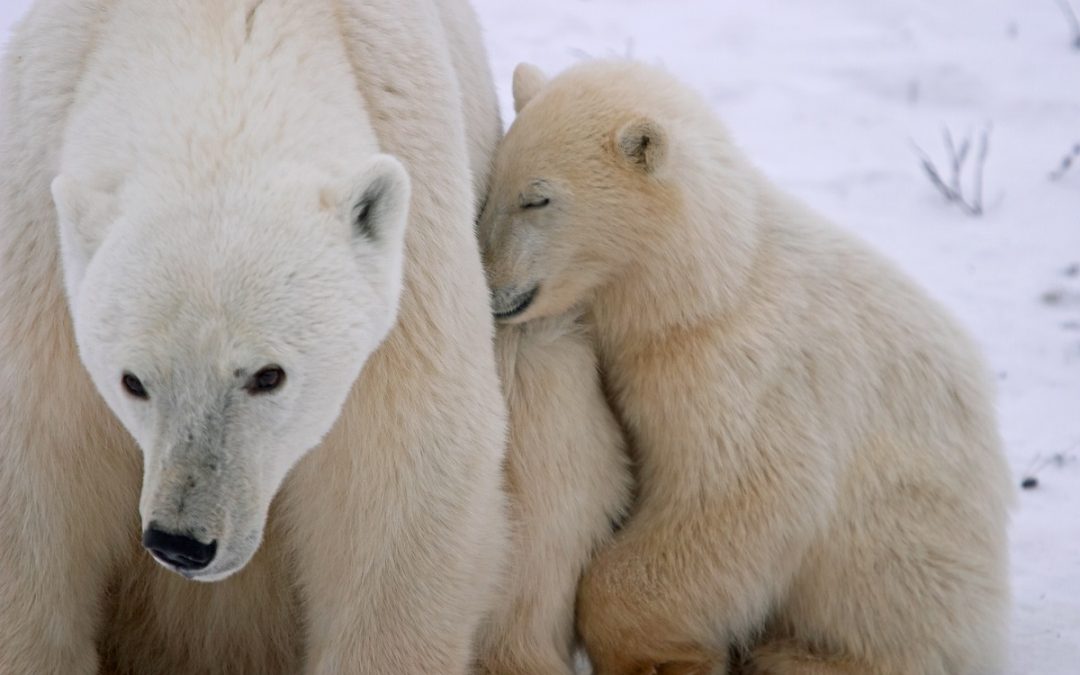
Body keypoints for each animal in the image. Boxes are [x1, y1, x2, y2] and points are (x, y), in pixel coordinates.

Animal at [0, 1, 507, 673]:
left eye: (269, 375)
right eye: (132, 381)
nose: (183, 542)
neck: (217, 32)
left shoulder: (416, 249)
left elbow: (398, 487)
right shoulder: (36, 260)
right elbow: (37, 478)